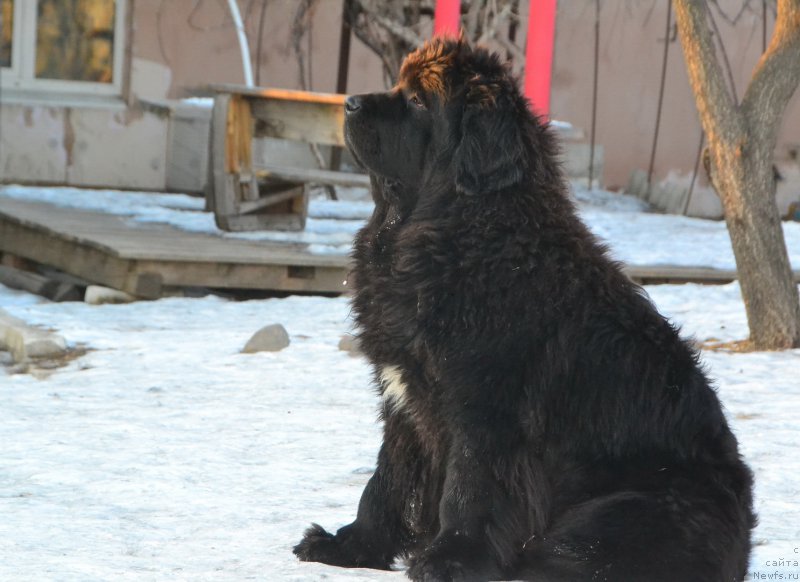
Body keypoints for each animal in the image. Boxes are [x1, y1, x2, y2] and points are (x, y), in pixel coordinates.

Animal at [292, 38, 752, 580]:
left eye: (420, 100)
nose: (350, 103)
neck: (462, 229)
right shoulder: (403, 398)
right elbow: (387, 478)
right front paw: (349, 546)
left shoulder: (484, 408)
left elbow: (468, 487)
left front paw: (448, 559)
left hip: (624, 509)